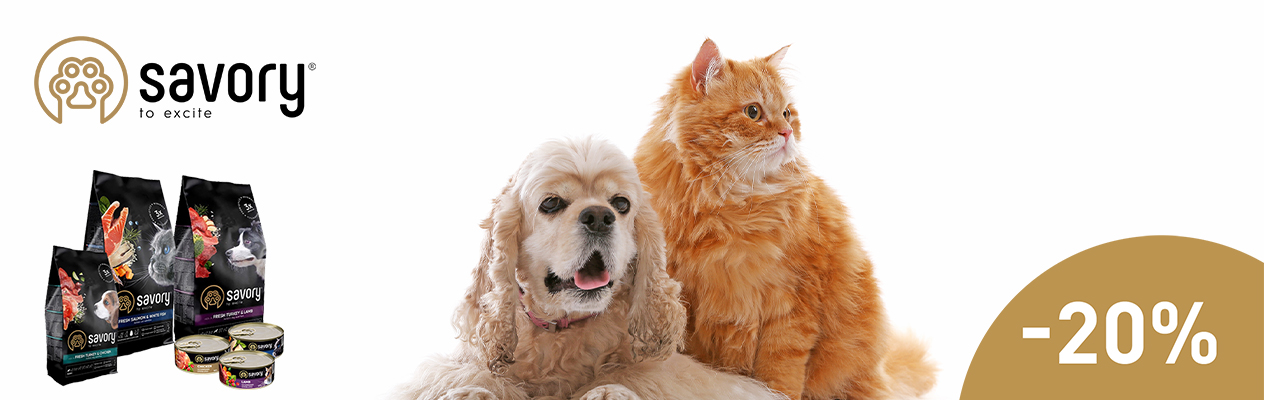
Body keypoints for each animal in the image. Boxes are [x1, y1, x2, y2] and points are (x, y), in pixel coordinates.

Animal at [394, 137, 786, 400]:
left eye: (621, 203)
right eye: (551, 203)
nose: (599, 216)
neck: (563, 332)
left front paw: (607, 391)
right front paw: (471, 392)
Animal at [632, 39, 936, 400]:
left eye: (788, 113)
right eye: (753, 112)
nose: (788, 131)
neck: (729, 207)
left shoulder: (790, 304)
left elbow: (780, 373)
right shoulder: (688, 299)